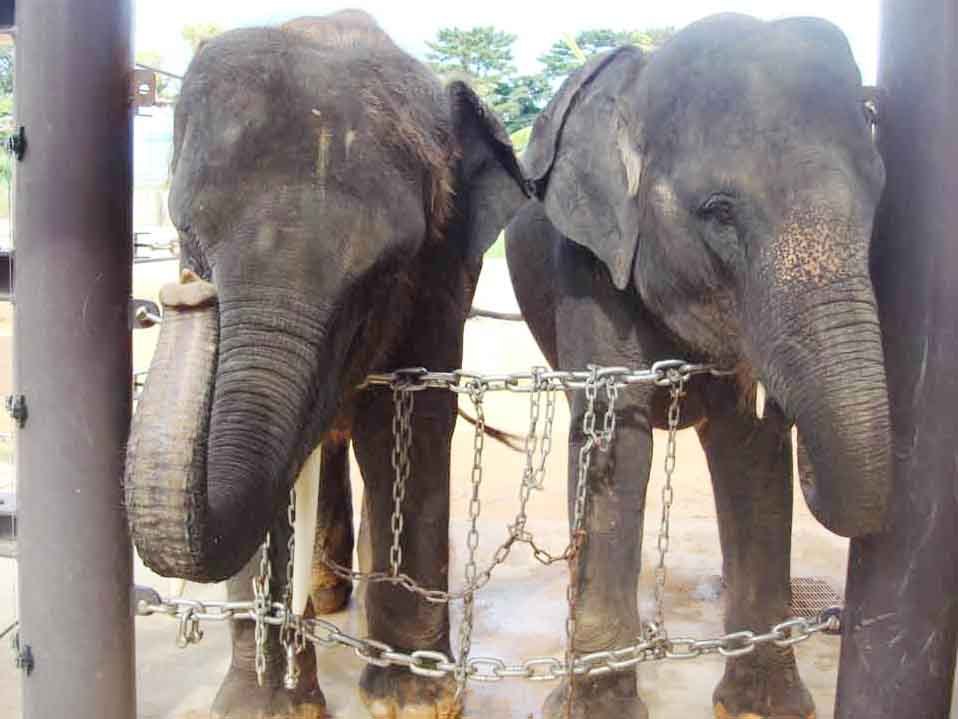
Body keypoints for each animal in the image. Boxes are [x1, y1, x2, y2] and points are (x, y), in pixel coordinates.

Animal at [124, 10, 527, 719]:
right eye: (189, 237)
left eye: (386, 271)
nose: (183, 296)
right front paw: (263, 707)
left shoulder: (444, 273)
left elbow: (408, 424)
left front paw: (416, 700)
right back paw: (327, 594)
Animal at [505, 13, 890, 719]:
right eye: (719, 212)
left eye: (879, 199)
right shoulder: (586, 263)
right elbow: (615, 440)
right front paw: (594, 710)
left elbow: (750, 448)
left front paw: (765, 708)